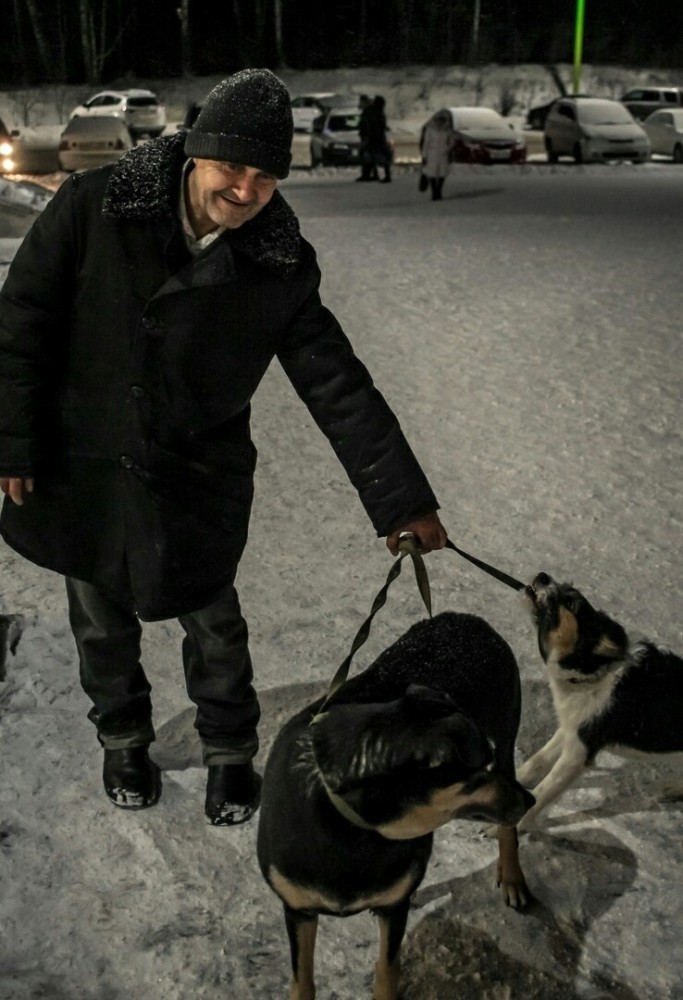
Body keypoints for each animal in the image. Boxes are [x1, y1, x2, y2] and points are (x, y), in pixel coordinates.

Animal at [256, 608, 536, 1000]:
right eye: (475, 774)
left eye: (486, 762)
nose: (532, 800)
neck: (353, 828)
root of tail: (466, 617)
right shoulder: (299, 909)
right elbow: (303, 980)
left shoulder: (392, 909)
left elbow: (386, 971)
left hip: (507, 735)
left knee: (507, 831)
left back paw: (512, 877)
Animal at [520, 572, 683, 828]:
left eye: (570, 603)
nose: (543, 575)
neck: (596, 672)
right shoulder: (573, 729)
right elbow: (538, 759)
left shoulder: (577, 755)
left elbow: (542, 792)